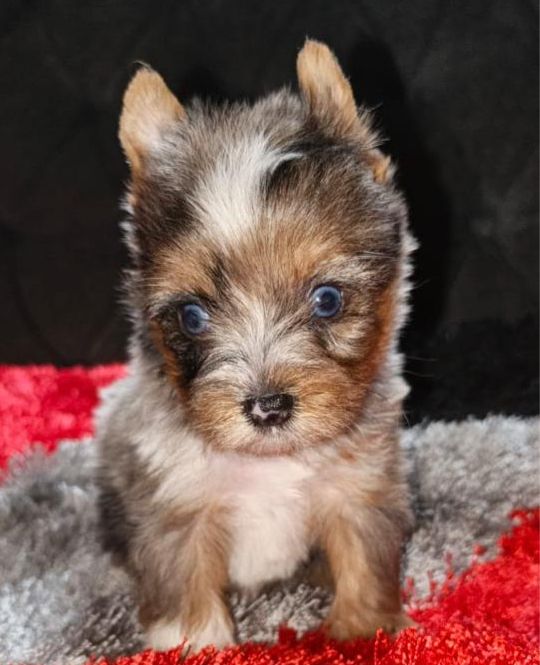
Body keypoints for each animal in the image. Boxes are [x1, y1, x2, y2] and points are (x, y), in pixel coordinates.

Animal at [96, 39, 416, 652]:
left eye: (327, 300)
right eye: (192, 315)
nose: (268, 408)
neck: (268, 462)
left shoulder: (360, 483)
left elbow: (364, 559)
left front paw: (362, 630)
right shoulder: (174, 501)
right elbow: (186, 587)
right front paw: (198, 646)